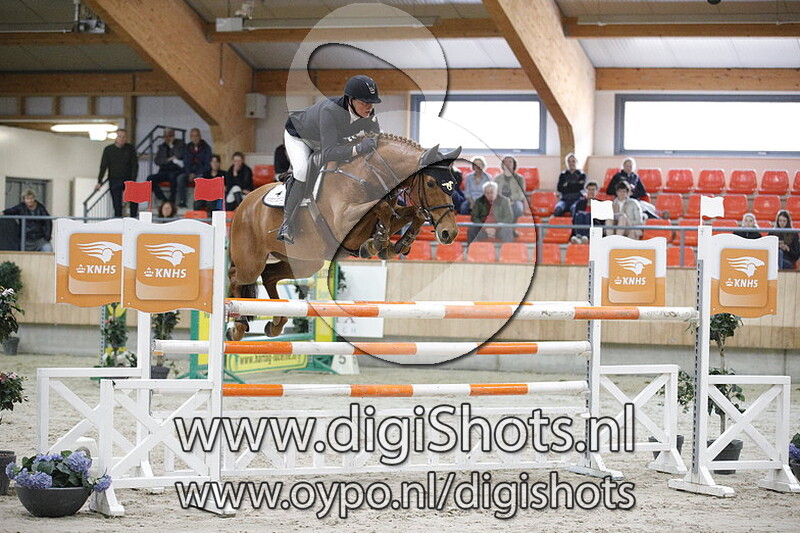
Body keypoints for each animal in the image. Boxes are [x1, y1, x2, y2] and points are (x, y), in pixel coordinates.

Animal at [227, 133, 462, 341]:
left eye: (453, 183)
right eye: (431, 183)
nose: (449, 233)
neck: (367, 175)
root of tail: (245, 203)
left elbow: (413, 213)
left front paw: (397, 244)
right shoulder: (344, 223)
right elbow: (381, 207)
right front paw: (377, 243)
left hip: (303, 262)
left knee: (269, 276)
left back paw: (276, 323)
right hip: (251, 261)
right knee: (236, 276)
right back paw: (237, 326)